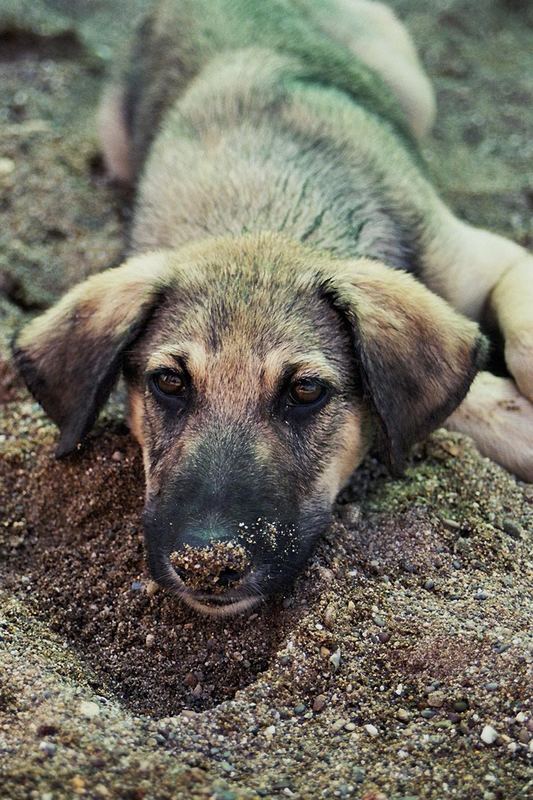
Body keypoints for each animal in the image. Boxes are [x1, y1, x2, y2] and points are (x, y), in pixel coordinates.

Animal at [12, 0, 532, 616]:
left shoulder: (489, 256)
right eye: (168, 382)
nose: (207, 564)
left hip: (408, 81)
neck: (264, 205)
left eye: (306, 391)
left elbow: (521, 345)